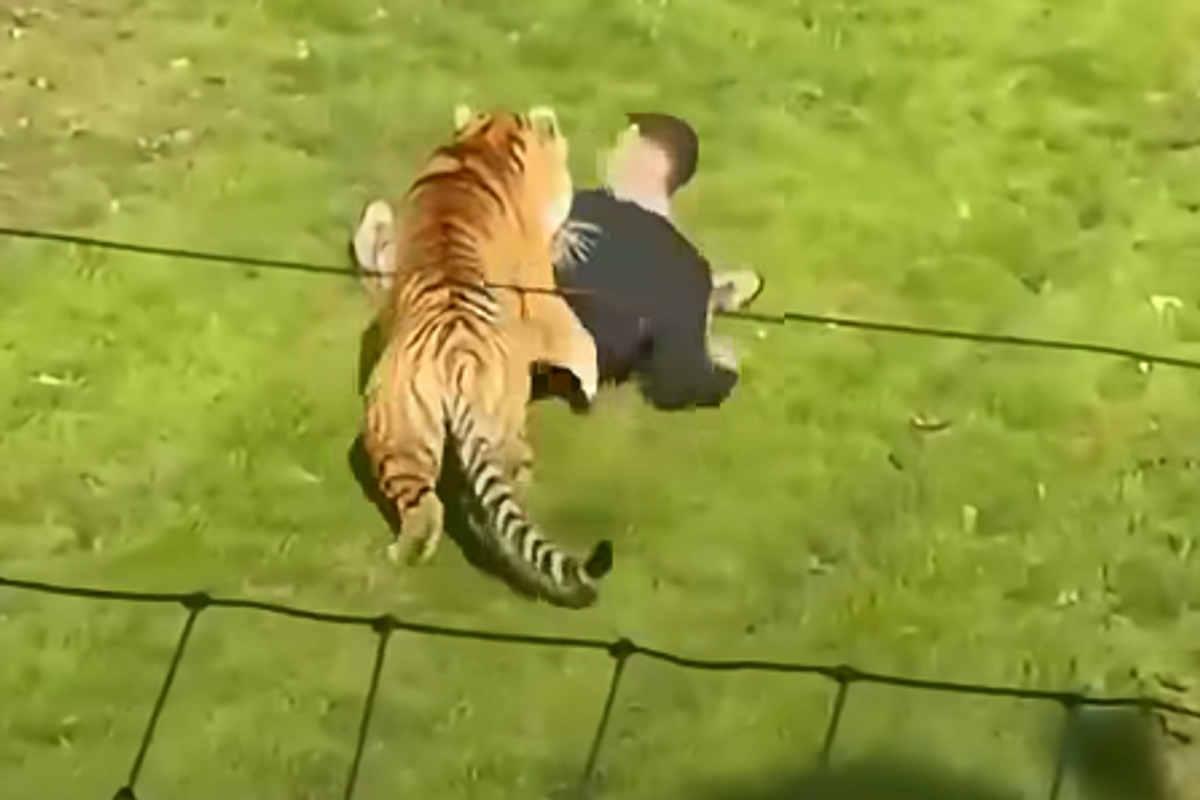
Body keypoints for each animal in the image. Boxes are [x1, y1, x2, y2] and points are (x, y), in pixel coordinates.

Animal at [356, 104, 612, 609]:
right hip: (498, 423)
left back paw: (404, 553)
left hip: (398, 428)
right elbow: (578, 339)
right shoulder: (542, 289)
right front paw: (591, 387)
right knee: (503, 488)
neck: (482, 142)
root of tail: (454, 359)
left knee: (425, 507)